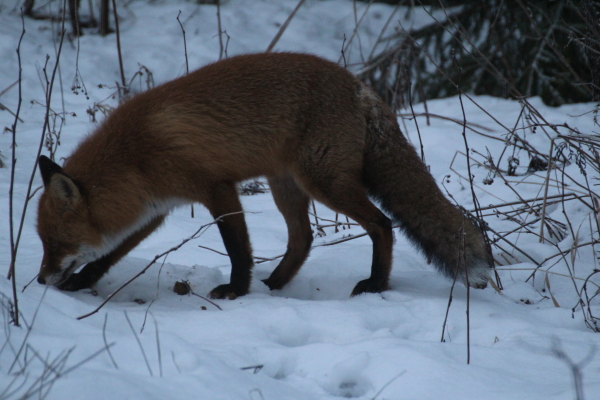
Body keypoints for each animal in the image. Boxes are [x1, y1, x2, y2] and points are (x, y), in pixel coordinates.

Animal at [36, 52, 491, 299]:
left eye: (56, 243)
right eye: (44, 243)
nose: (40, 279)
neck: (136, 153)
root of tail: (360, 85)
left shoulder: (216, 188)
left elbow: (237, 248)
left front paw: (235, 290)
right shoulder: (156, 209)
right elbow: (109, 254)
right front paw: (81, 283)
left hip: (324, 183)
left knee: (382, 224)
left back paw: (376, 283)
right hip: (286, 186)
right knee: (303, 238)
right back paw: (275, 283)